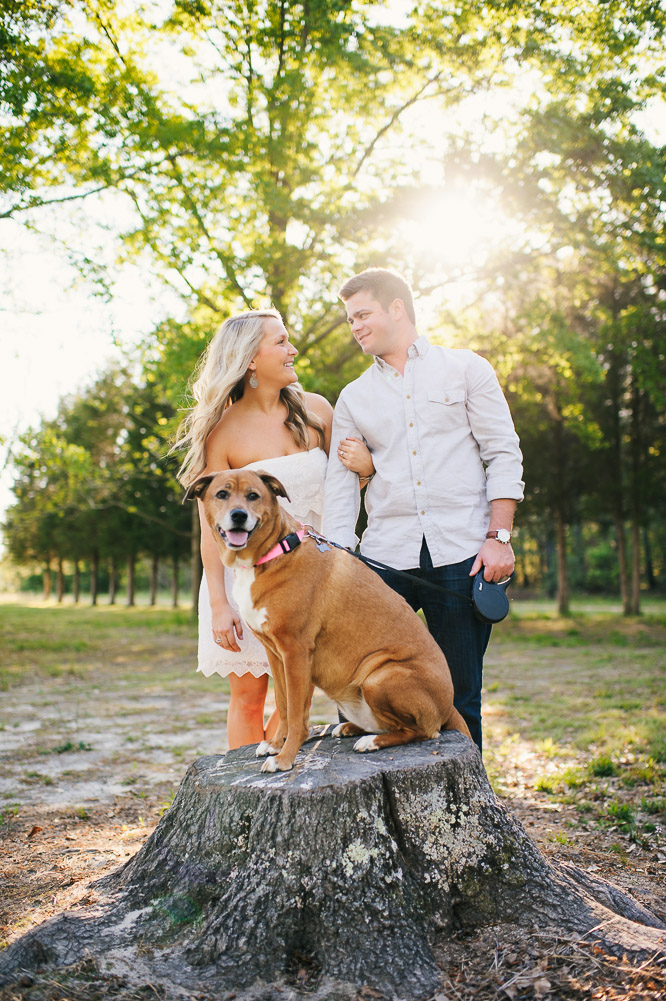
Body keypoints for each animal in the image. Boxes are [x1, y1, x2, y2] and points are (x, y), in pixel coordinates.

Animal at [184, 468, 470, 772]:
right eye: (222, 494)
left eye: (253, 495)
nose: (238, 515)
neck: (275, 550)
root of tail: (450, 705)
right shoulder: (276, 654)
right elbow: (283, 705)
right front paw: (275, 745)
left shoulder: (296, 652)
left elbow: (296, 714)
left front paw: (284, 758)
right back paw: (350, 728)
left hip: (379, 676)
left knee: (423, 730)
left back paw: (371, 741)